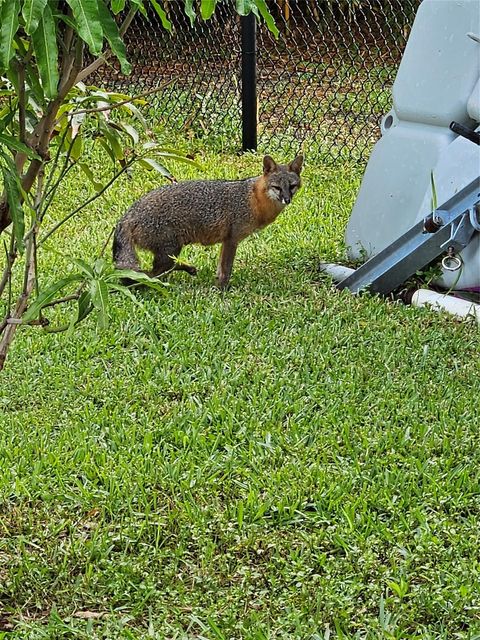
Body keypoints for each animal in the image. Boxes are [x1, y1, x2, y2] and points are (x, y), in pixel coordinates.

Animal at [112, 154, 304, 288]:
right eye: (277, 188)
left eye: (292, 186)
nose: (287, 200)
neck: (253, 199)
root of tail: (128, 215)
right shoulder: (232, 239)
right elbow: (226, 269)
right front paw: (222, 289)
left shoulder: (226, 240)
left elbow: (220, 268)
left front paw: (217, 284)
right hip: (170, 250)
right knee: (147, 275)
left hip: (169, 252)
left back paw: (187, 269)